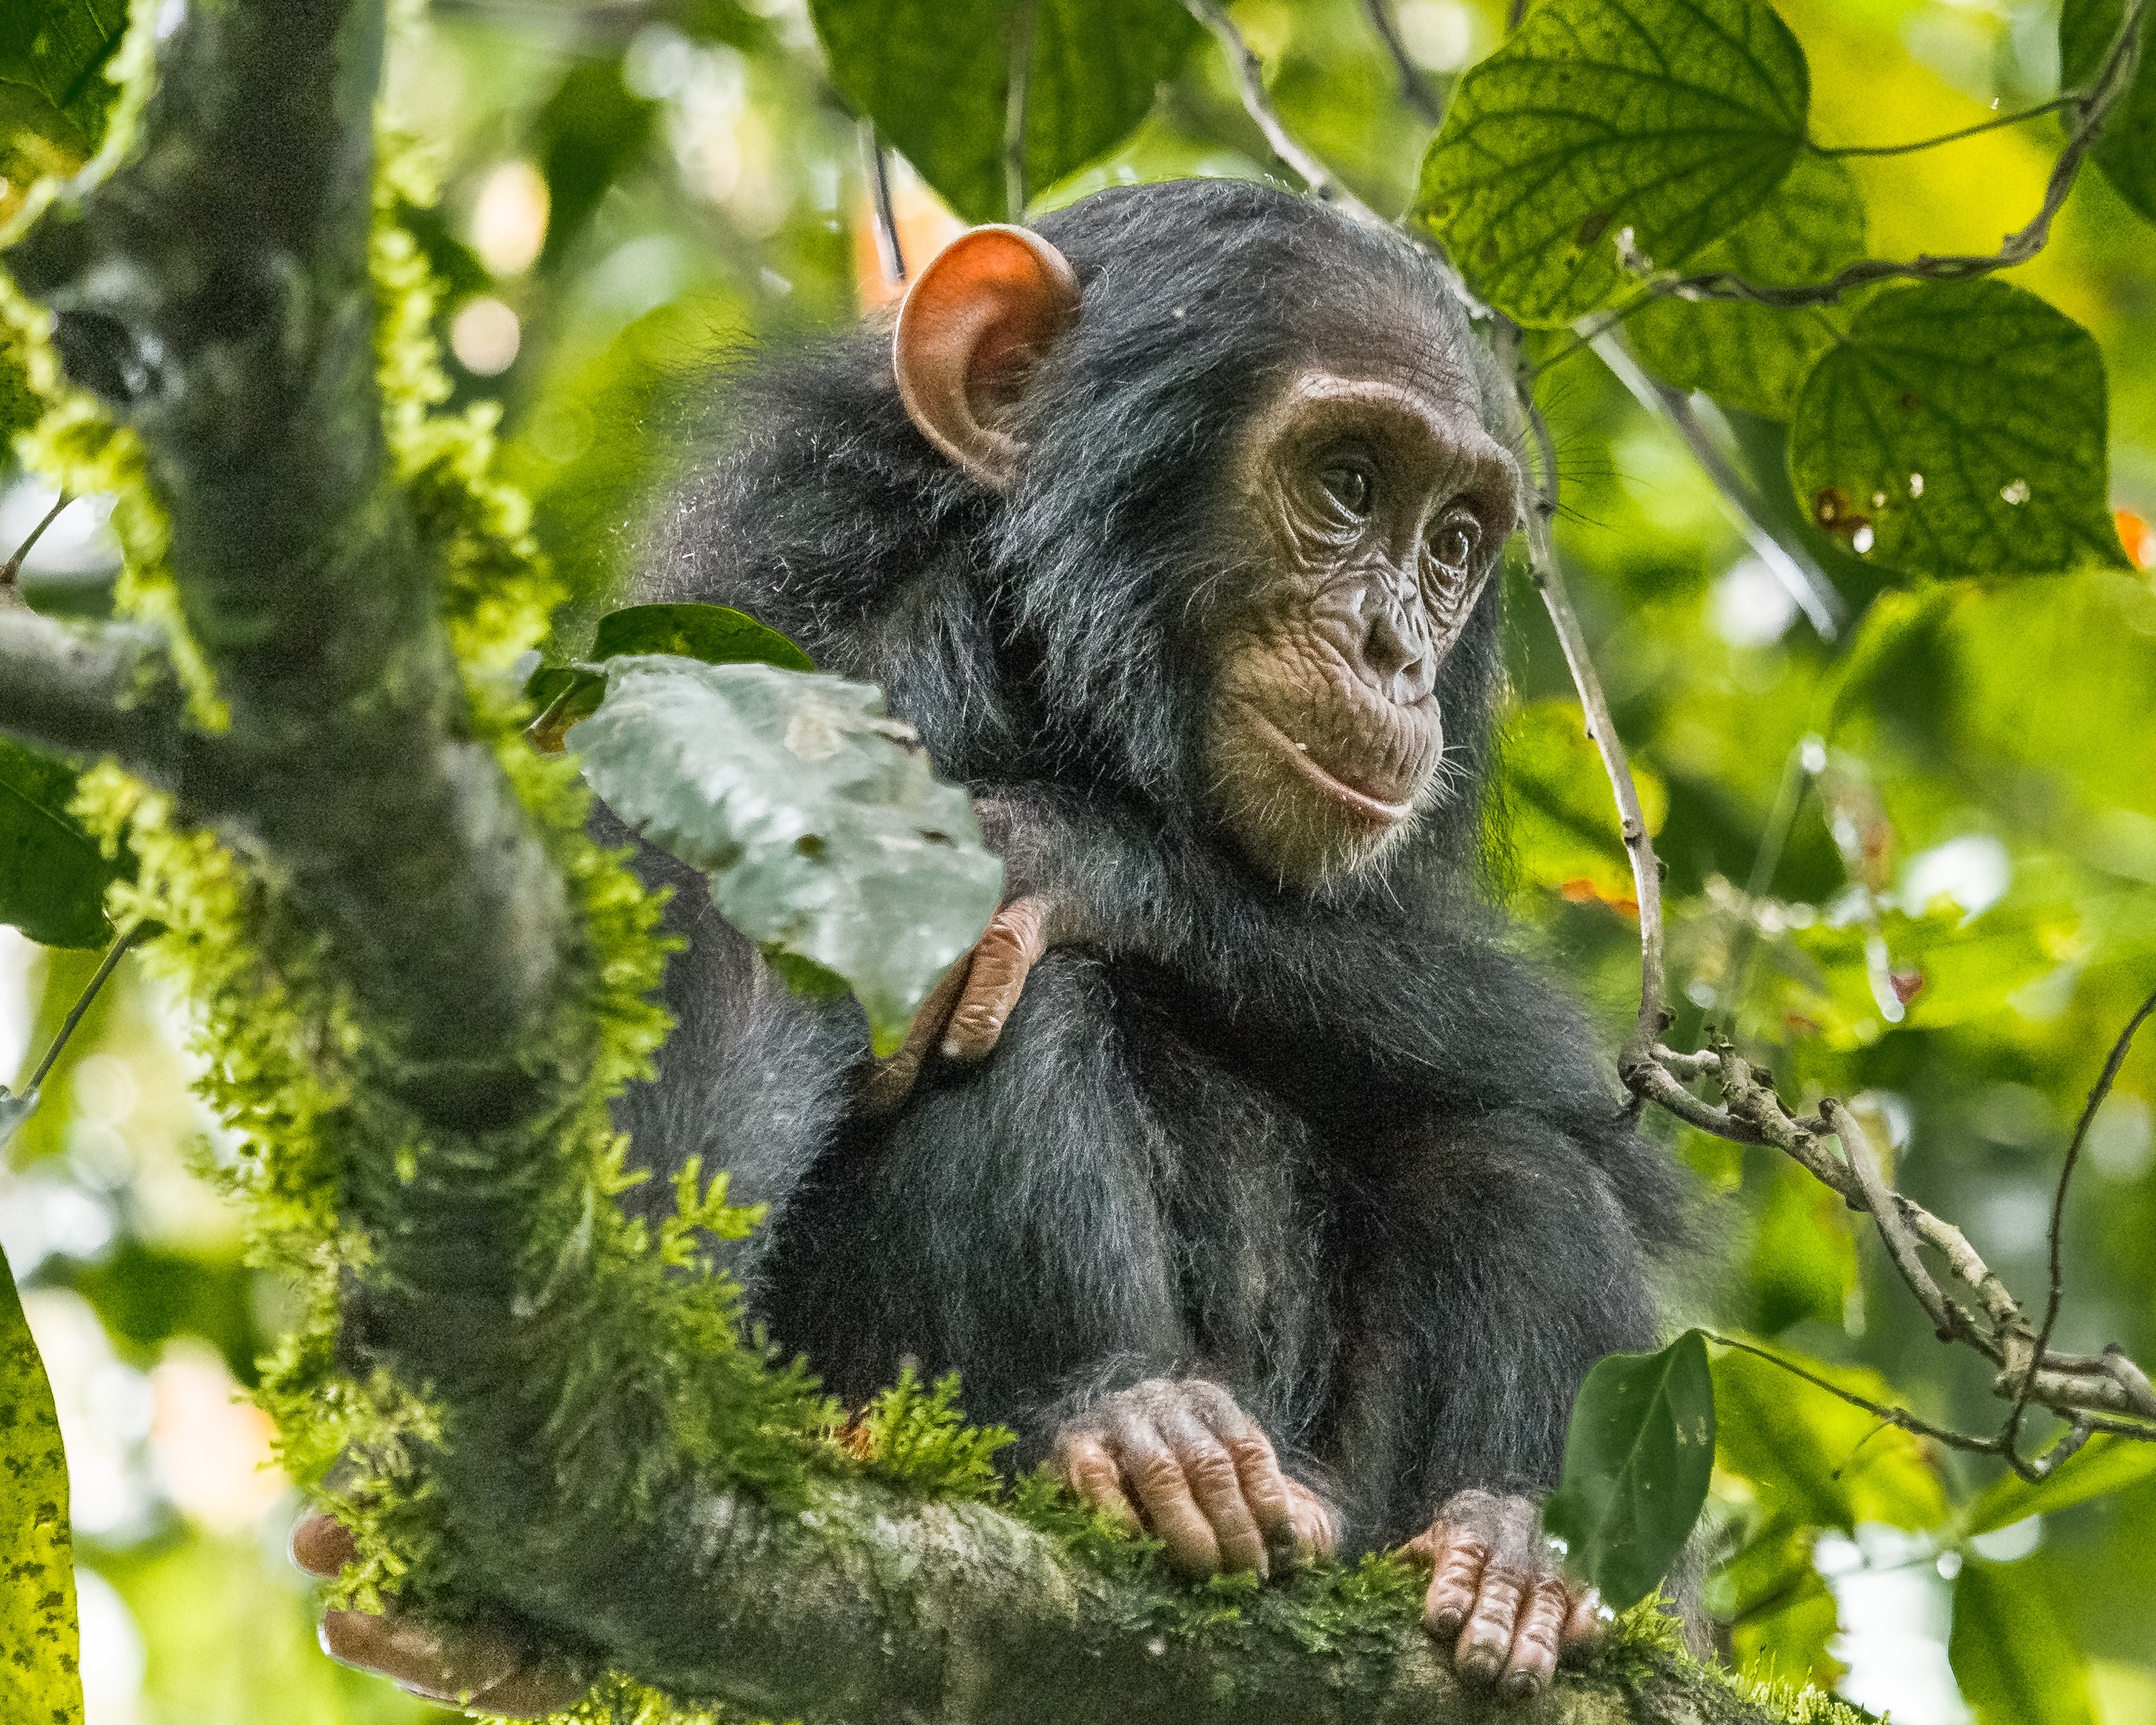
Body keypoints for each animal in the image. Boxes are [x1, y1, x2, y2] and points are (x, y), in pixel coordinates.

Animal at [302, 177, 1692, 1712]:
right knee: (1023, 1005)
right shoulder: (769, 662)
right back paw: (1126, 1425)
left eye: (1452, 539)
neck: (1035, 661)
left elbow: (1564, 1079)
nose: (1395, 648)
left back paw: (1511, 1553)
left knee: (1503, 1149)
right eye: (1346, 483)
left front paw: (1069, 854)